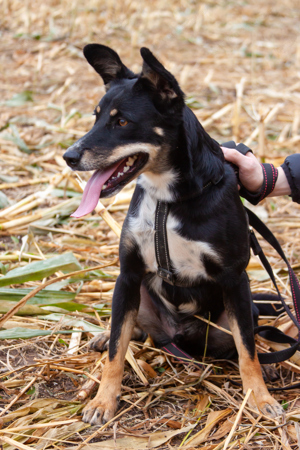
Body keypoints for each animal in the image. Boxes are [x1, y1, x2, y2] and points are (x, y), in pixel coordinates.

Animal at [63, 44, 284, 426]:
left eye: (122, 122)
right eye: (96, 117)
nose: (69, 156)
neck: (166, 198)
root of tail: (176, 334)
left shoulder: (234, 278)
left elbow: (247, 350)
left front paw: (259, 396)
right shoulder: (128, 274)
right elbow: (117, 350)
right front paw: (103, 401)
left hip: (240, 309)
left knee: (247, 338)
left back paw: (269, 360)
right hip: (136, 295)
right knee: (130, 329)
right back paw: (104, 336)